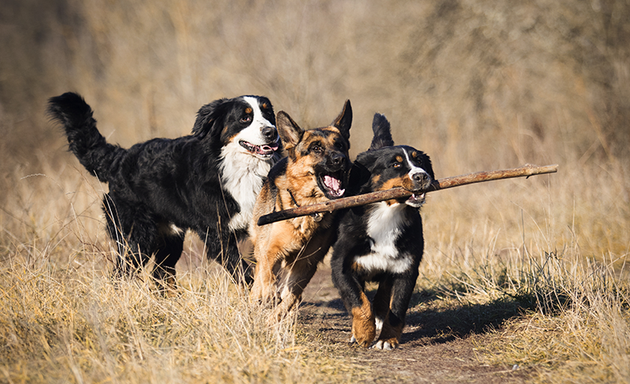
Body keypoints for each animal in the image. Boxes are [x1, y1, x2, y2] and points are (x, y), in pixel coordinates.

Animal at [46, 94, 278, 292]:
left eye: (268, 114)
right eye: (245, 118)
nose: (271, 132)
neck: (242, 170)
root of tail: (120, 158)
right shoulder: (217, 232)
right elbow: (241, 269)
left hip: (169, 239)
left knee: (160, 275)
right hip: (137, 239)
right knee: (122, 273)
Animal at [330, 112, 434, 350]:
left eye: (419, 161)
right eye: (395, 164)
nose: (422, 176)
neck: (387, 214)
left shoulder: (406, 268)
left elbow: (396, 309)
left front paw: (387, 339)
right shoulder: (341, 265)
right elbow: (359, 302)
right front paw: (363, 333)